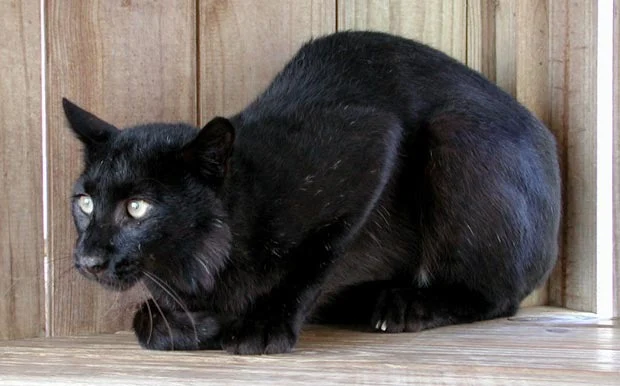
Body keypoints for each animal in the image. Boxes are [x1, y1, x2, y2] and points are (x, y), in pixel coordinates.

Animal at [64, 31, 560, 354]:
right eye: (85, 203)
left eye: (137, 207)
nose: (88, 258)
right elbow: (144, 321)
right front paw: (193, 323)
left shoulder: (369, 147)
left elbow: (315, 258)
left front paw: (263, 325)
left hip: (455, 136)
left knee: (499, 298)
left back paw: (406, 304)